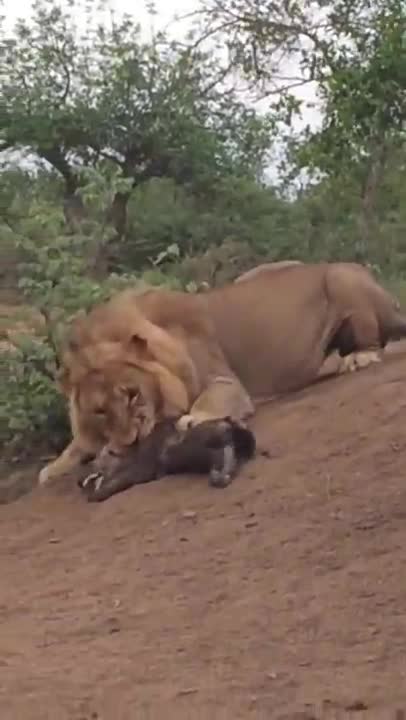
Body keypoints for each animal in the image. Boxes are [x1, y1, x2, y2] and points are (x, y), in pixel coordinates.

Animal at [39, 261, 406, 485]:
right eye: (100, 410)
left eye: (132, 395)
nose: (130, 443)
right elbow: (74, 447)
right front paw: (53, 468)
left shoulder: (225, 381)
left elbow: (208, 401)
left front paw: (191, 420)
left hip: (341, 276)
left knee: (374, 340)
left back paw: (358, 357)